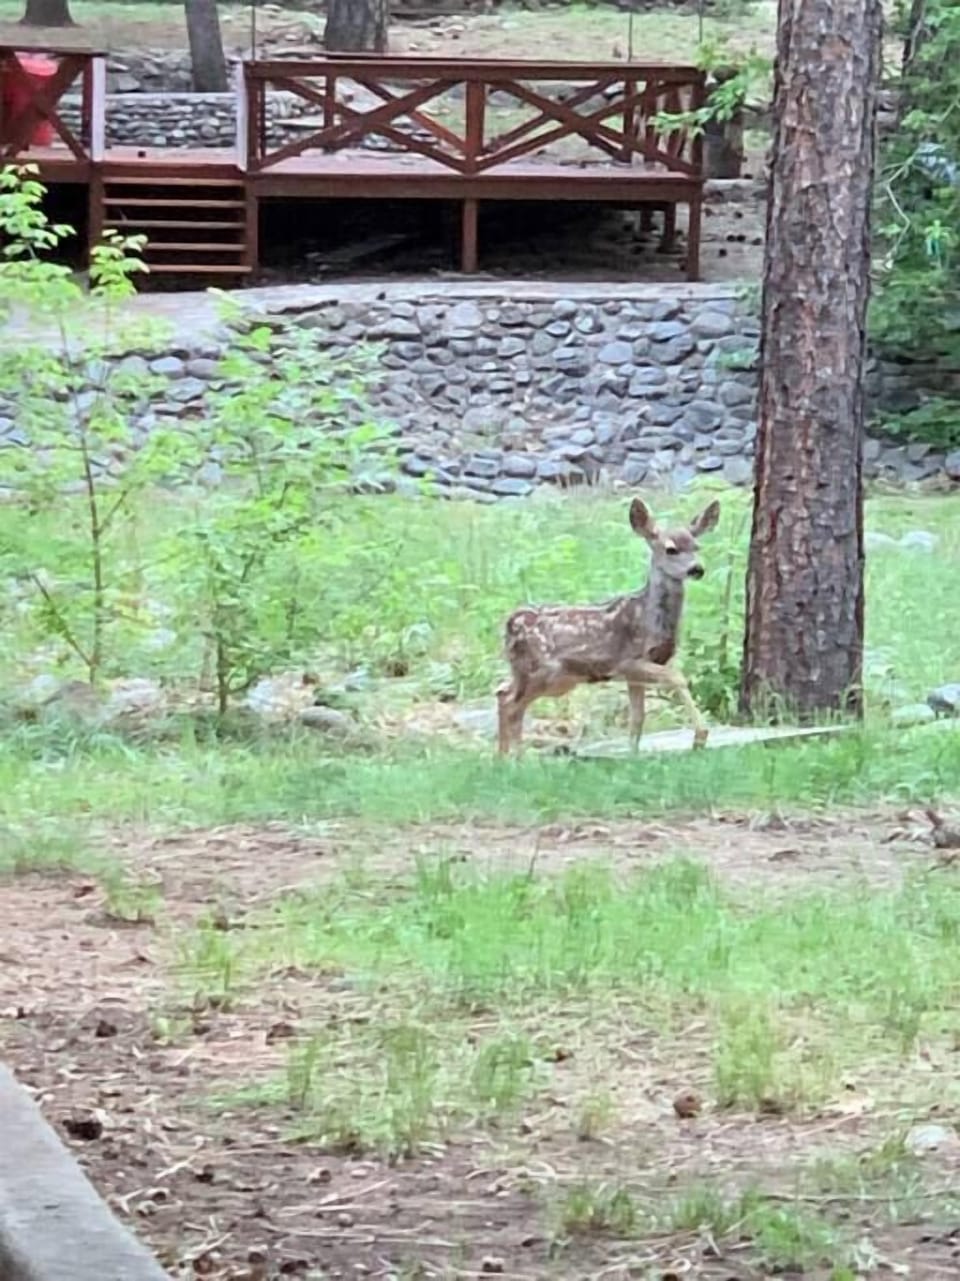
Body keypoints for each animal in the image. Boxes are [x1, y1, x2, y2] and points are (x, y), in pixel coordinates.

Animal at [496, 497, 720, 756]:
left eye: (697, 547)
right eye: (671, 549)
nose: (697, 569)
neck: (648, 616)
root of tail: (509, 624)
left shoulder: (639, 672)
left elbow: (637, 718)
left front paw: (633, 753)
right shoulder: (628, 660)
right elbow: (676, 677)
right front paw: (701, 736)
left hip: (546, 676)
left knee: (503, 693)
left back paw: (504, 757)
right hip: (542, 669)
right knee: (511, 704)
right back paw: (516, 757)